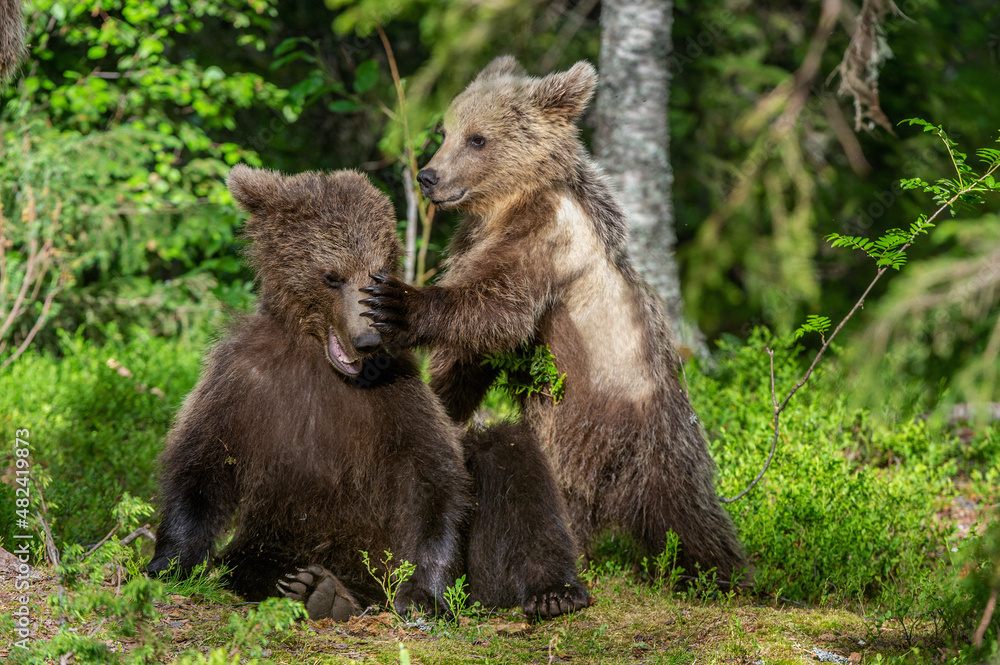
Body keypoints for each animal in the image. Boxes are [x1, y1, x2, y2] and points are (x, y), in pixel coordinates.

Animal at [144, 164, 589, 621]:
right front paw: (169, 562)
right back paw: (316, 589)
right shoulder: (242, 379)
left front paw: (424, 592)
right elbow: (202, 465)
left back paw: (553, 590)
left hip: (453, 566)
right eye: (332, 276)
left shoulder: (395, 391)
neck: (319, 360)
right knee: (249, 558)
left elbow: (433, 476)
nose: (367, 340)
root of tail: (367, 588)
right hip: (282, 532)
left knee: (511, 458)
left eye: (378, 272)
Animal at [359, 56, 749, 583]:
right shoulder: (475, 240)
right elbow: (472, 354)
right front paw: (444, 403)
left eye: (478, 138)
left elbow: (494, 308)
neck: (507, 202)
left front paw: (396, 301)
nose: (429, 176)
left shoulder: (545, 240)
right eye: (444, 130)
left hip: (593, 416)